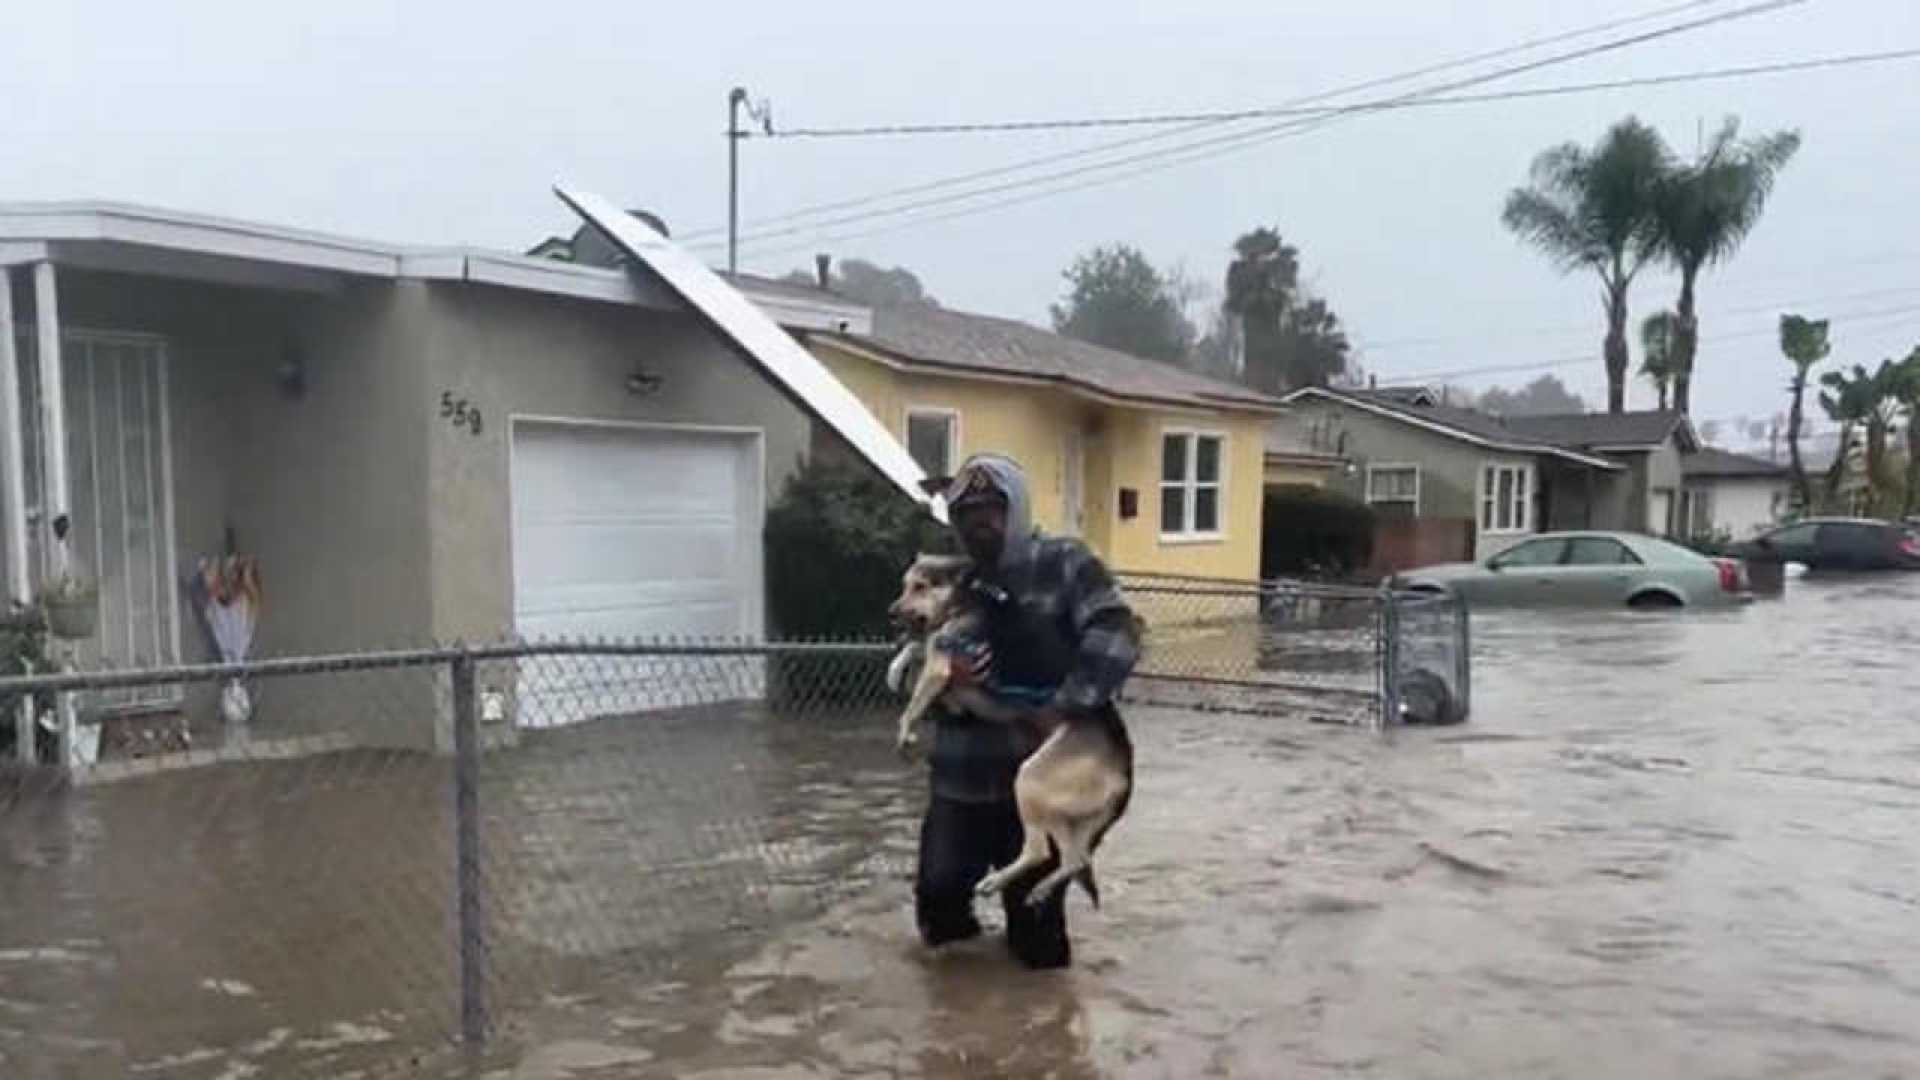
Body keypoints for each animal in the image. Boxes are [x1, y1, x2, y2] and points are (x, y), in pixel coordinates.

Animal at [887, 549, 1136, 903]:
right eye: (905, 585)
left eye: (920, 587)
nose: (891, 612)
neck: (965, 598)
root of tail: (1124, 769)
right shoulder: (940, 654)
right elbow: (915, 646)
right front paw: (895, 670)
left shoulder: (941, 666)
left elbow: (912, 702)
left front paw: (905, 733)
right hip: (1062, 810)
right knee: (1075, 859)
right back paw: (1041, 888)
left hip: (1031, 779)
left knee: (1038, 851)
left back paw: (995, 881)